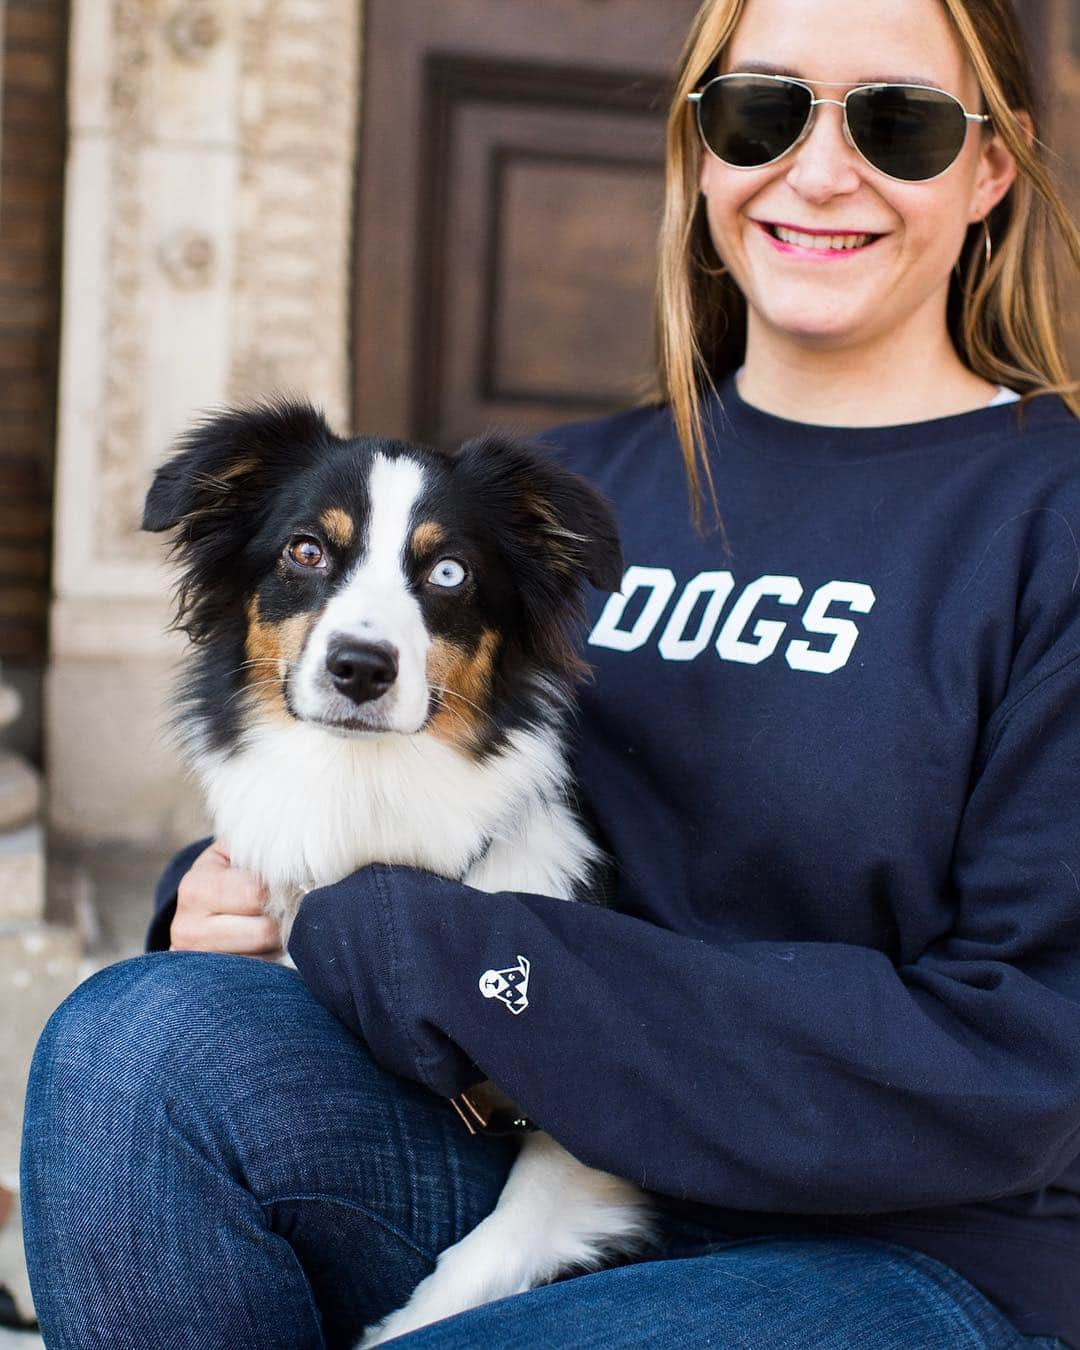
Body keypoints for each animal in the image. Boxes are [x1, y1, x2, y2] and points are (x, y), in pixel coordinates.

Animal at [142, 402, 650, 1350]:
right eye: (306, 550)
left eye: (448, 571)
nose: (360, 668)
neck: (365, 790)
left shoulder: (594, 1145)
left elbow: (497, 1244)